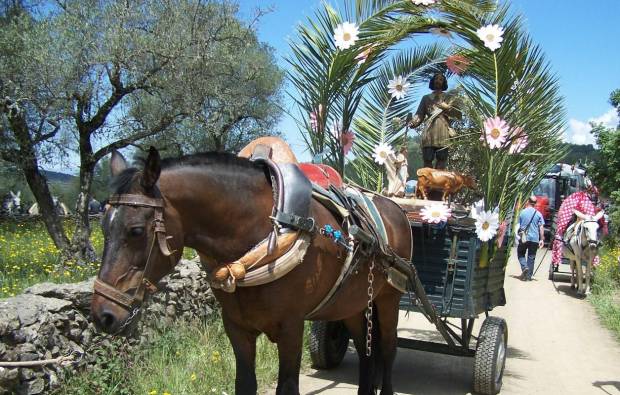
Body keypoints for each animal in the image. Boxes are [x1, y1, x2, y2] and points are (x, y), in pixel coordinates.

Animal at [91, 147, 412, 394]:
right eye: (103, 226)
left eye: (135, 230)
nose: (102, 315)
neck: (266, 228)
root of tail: (395, 208)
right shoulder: (237, 328)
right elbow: (244, 384)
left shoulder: (291, 328)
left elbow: (287, 388)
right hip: (352, 304)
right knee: (366, 351)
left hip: (389, 297)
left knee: (388, 349)